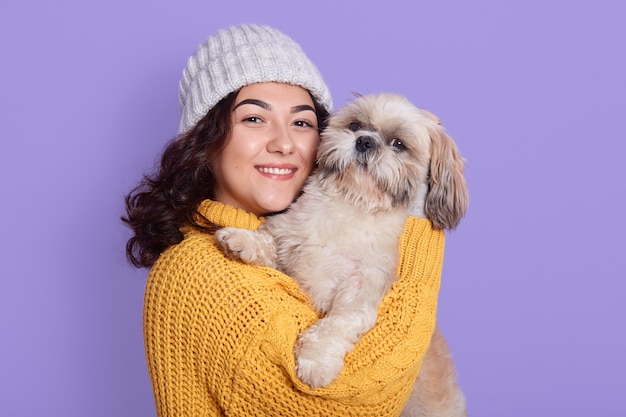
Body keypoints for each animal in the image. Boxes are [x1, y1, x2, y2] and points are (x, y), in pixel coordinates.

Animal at [217, 92, 466, 414]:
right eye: (356, 125)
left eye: (398, 144)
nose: (365, 141)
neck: (352, 203)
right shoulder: (289, 239)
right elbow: (269, 241)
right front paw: (241, 239)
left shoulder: (363, 287)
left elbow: (338, 322)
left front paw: (316, 361)